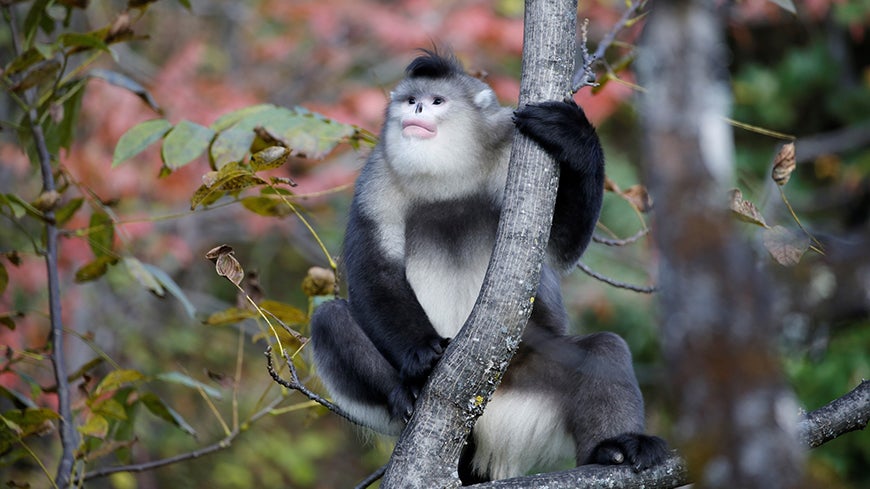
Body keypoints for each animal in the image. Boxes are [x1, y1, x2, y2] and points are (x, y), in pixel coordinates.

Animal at [310, 49, 672, 480]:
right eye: (410, 99)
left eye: (436, 101)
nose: (416, 109)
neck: (448, 178)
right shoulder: (376, 182)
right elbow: (375, 271)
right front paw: (421, 352)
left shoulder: (509, 148)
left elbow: (560, 249)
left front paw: (574, 137)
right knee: (329, 319)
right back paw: (406, 395)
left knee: (606, 349)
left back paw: (615, 449)